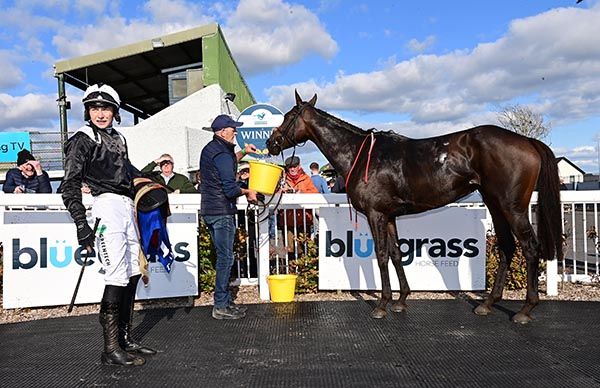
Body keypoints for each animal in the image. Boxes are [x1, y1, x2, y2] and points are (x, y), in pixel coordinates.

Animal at [268, 91, 564, 324]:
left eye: (288, 115)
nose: (272, 143)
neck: (360, 155)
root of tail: (527, 141)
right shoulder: (389, 216)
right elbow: (397, 254)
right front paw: (401, 300)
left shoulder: (376, 215)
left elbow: (382, 256)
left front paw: (382, 304)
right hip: (495, 204)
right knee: (506, 247)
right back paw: (488, 303)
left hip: (512, 208)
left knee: (530, 247)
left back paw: (525, 310)